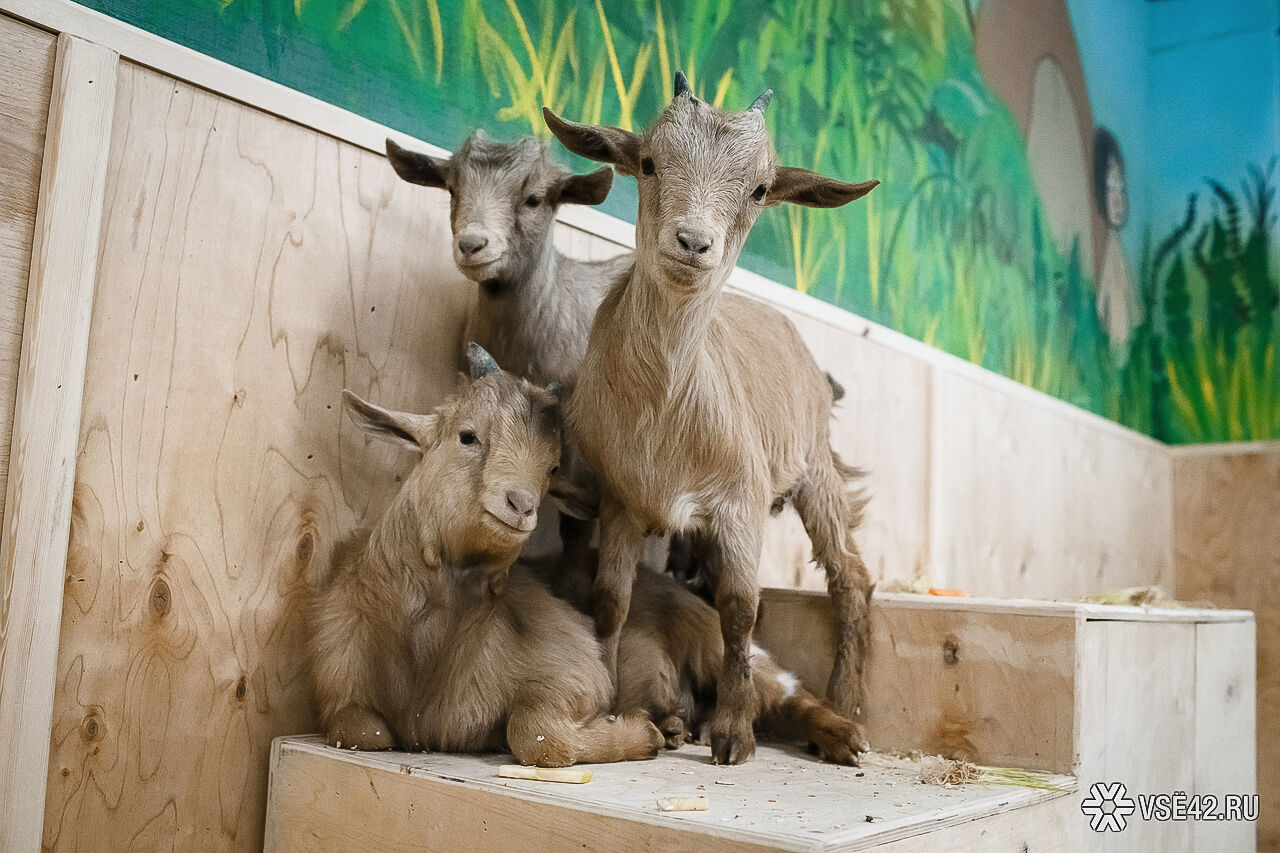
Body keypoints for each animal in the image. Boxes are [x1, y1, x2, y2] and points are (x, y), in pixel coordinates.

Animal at [540, 74, 880, 763]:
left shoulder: (739, 500)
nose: (693, 243)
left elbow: (740, 609)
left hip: (813, 467)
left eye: (758, 189)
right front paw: (611, 704)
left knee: (850, 577)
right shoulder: (622, 501)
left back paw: (846, 708)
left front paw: (733, 733)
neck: (668, 411)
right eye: (647, 162)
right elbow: (612, 603)